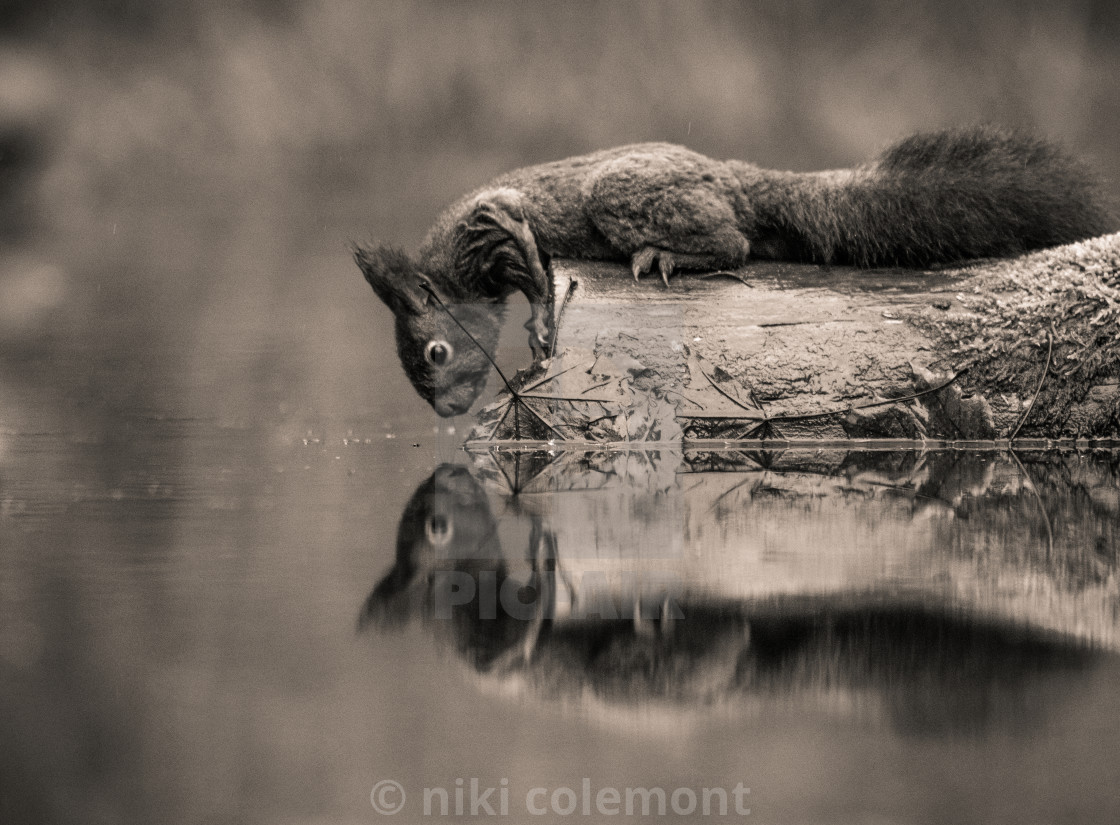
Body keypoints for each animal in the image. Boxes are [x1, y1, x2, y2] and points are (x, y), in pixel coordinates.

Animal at [356, 125, 1111, 414]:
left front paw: (541, 320)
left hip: (625, 195)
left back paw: (671, 253)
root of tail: (732, 176)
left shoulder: (500, 224)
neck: (455, 262)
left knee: (735, 241)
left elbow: (534, 267)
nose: (449, 411)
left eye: (436, 351)